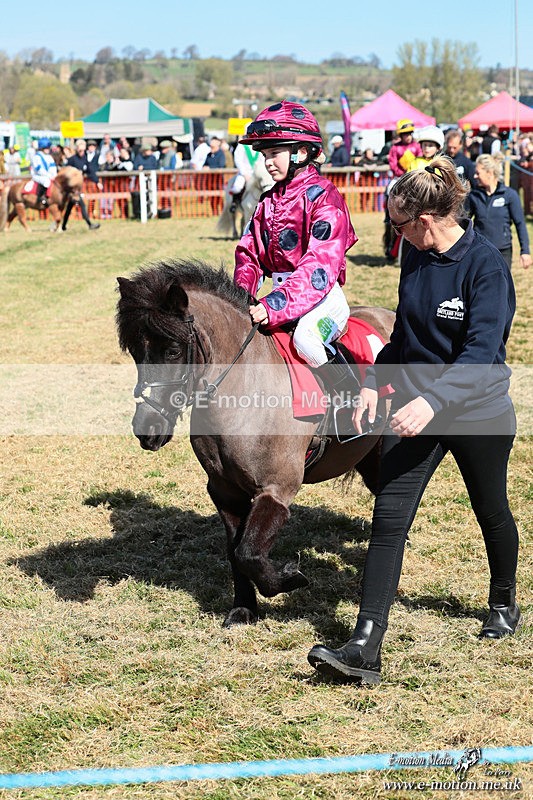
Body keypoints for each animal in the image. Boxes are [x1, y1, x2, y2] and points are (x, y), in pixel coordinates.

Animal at [116, 260, 395, 628]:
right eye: (136, 352)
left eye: (173, 350)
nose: (147, 429)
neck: (245, 391)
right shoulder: (224, 490)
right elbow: (236, 552)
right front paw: (244, 609)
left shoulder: (276, 489)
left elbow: (248, 552)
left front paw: (291, 578)